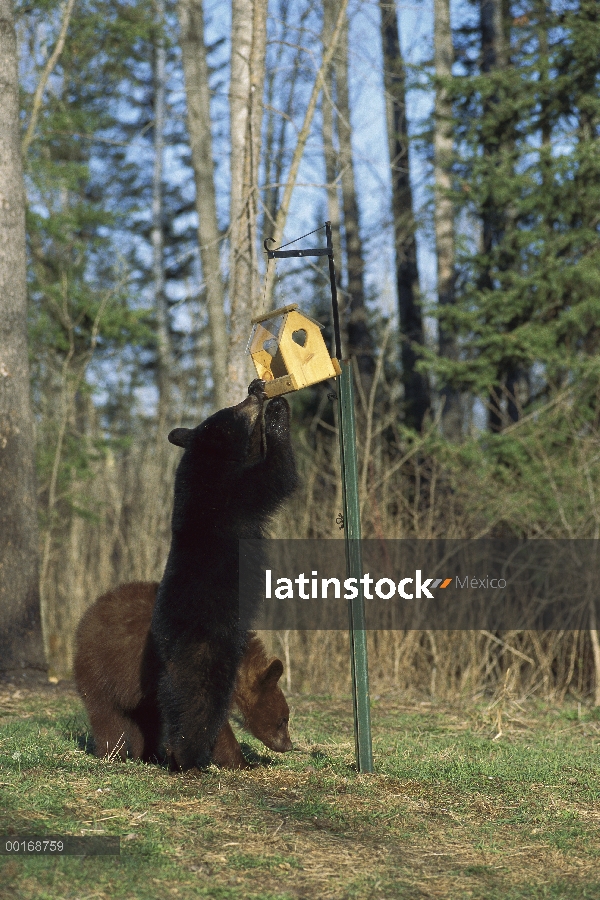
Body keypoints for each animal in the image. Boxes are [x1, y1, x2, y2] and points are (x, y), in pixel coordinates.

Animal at [74, 584, 292, 768]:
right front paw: (243, 763)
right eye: (283, 719)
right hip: (98, 666)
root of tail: (90, 611)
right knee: (105, 713)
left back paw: (149, 755)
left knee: (146, 719)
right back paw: (113, 755)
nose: (289, 745)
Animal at [152, 382, 298, 772]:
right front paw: (278, 416)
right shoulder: (233, 498)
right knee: (200, 706)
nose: (255, 389)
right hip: (209, 653)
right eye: (236, 409)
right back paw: (191, 757)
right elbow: (275, 475)